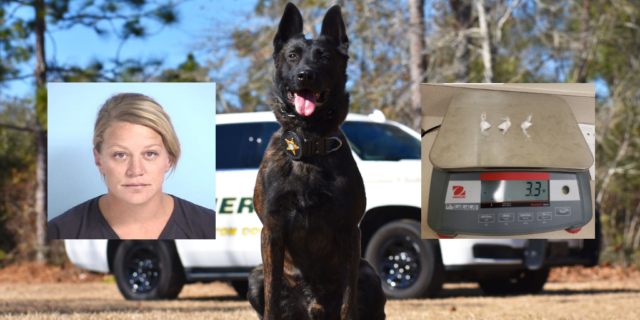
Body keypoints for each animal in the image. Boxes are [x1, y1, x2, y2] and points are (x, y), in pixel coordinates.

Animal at [246, 3, 384, 320]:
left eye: (324, 57)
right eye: (292, 56)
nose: (305, 75)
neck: (308, 144)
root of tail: (313, 308)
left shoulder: (349, 231)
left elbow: (348, 300)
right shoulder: (272, 232)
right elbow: (272, 297)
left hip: (370, 273)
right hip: (255, 276)